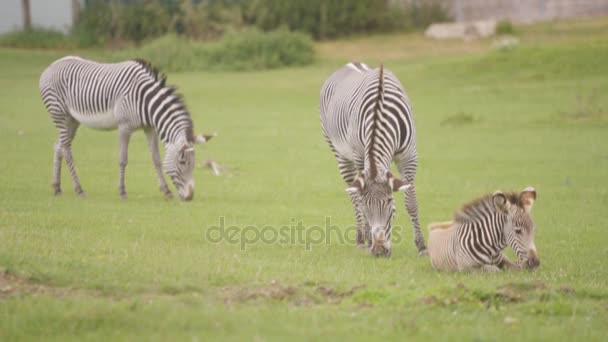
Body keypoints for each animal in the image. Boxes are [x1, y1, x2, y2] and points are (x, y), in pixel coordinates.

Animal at [38, 55, 214, 200]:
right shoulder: (124, 127)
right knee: (67, 149)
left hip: (72, 119)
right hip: (59, 113)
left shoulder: (150, 128)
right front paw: (122, 192)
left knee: (59, 145)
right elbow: (123, 160)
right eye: (183, 162)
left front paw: (166, 191)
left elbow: (157, 159)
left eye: (193, 162)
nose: (190, 197)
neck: (146, 101)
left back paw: (57, 187)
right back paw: (79, 189)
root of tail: (51, 65)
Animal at [318, 62, 428, 256]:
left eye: (390, 204)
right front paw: (369, 241)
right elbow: (360, 201)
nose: (379, 251)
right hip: (340, 155)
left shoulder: (408, 156)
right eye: (367, 206)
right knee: (354, 197)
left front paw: (422, 246)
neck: (381, 113)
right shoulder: (359, 156)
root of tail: (349, 64)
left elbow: (411, 202)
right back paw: (361, 240)